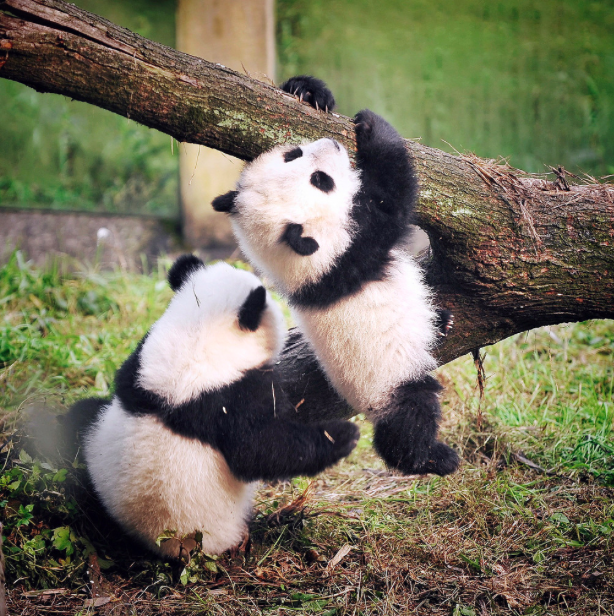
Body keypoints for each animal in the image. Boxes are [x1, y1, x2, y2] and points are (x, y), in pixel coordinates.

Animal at [69, 255, 360, 560]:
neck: (196, 337)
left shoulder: (136, 369)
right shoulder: (229, 400)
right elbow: (261, 451)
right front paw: (343, 436)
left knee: (80, 414)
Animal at [214, 73, 460, 476]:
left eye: (292, 155)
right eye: (321, 180)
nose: (332, 143)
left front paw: (308, 91)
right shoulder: (354, 243)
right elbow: (393, 195)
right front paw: (373, 126)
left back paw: (442, 319)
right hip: (388, 380)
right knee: (410, 416)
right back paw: (432, 456)